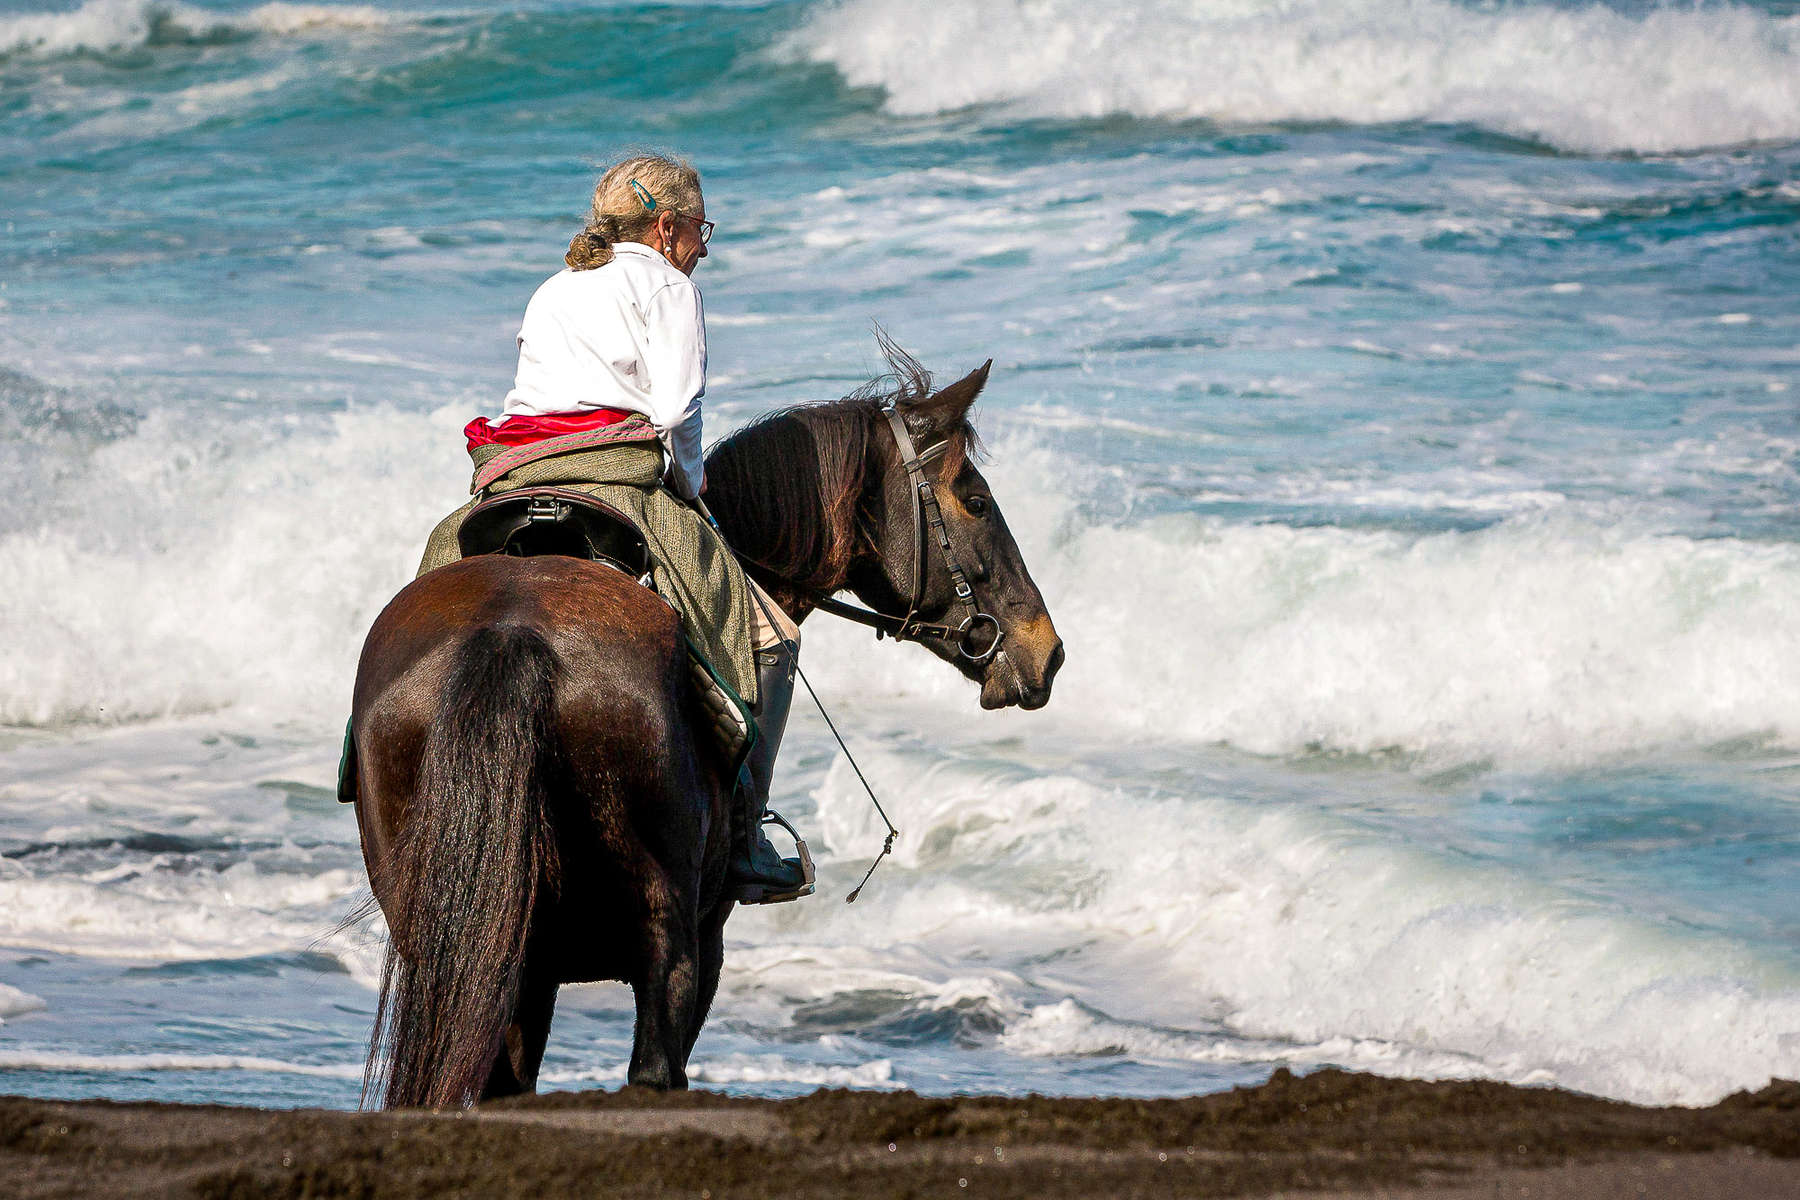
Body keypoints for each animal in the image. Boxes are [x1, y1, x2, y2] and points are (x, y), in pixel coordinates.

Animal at [343, 345, 1058, 1108]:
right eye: (976, 501)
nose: (1048, 651)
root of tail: (510, 632)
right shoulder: (704, 937)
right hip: (668, 936)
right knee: (654, 1073)